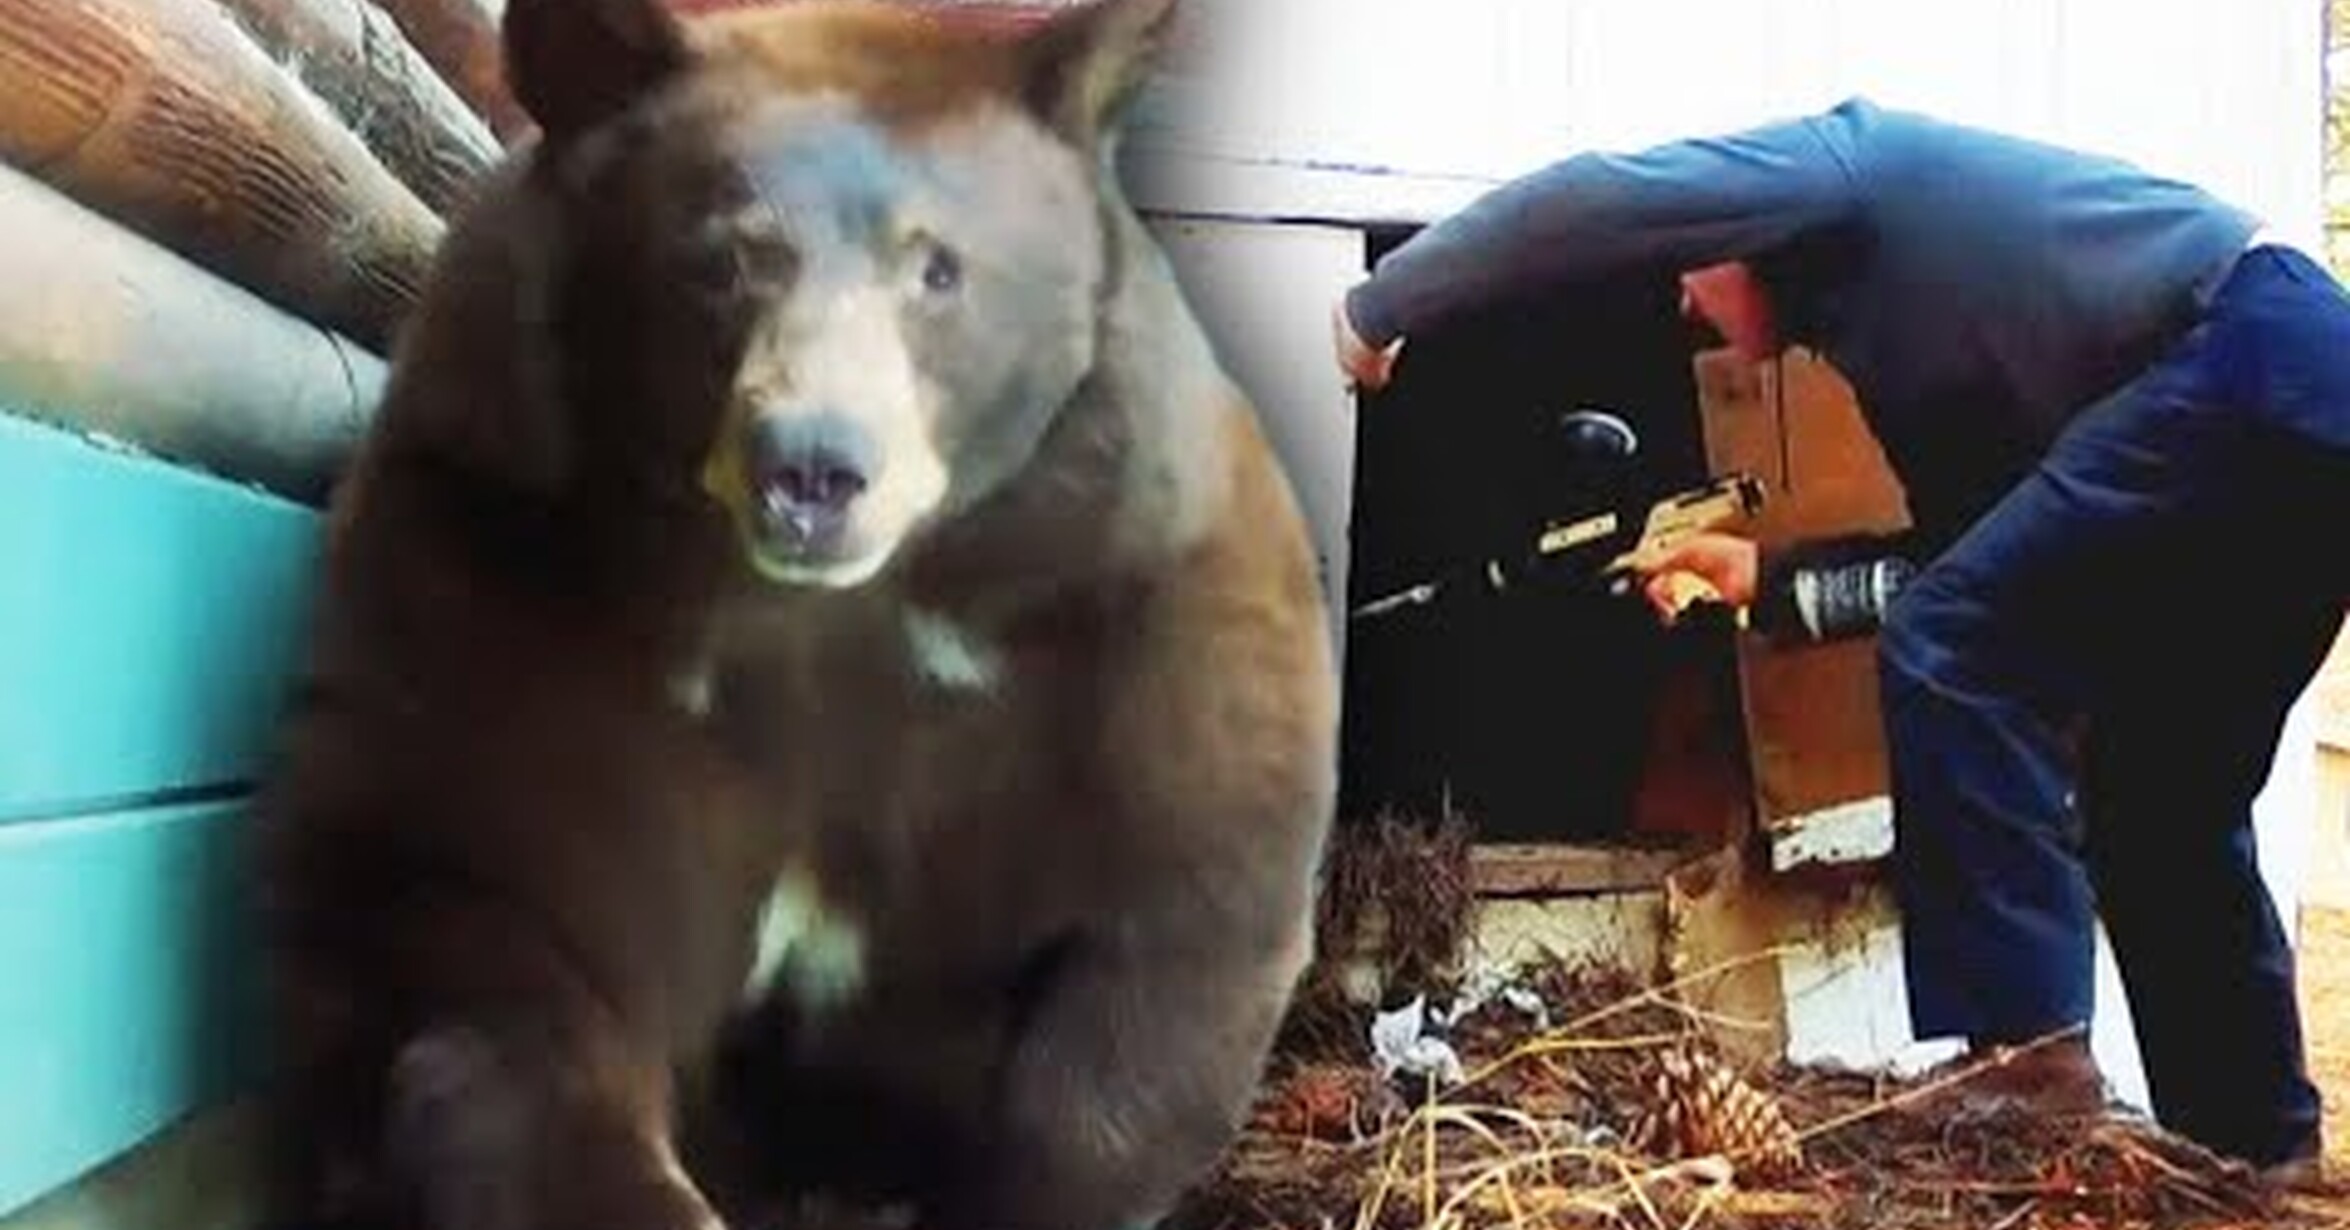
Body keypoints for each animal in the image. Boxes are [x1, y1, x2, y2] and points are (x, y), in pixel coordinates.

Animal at [246, 1, 1339, 1229]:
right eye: (722, 261)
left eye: (939, 269)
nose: (814, 464)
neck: (828, 618)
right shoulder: (502, 593)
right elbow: (486, 908)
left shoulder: (1133, 625)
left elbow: (1163, 932)